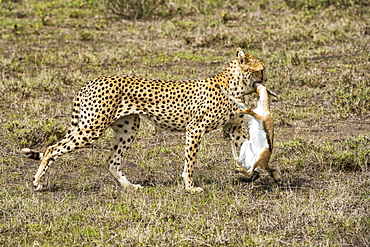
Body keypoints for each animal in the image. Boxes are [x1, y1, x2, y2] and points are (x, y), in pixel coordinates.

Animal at [23, 47, 268, 193]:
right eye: (261, 70)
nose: (266, 79)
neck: (234, 85)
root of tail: (91, 81)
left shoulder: (234, 129)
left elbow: (246, 150)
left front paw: (251, 173)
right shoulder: (195, 128)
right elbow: (190, 162)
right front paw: (190, 187)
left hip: (128, 127)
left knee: (111, 160)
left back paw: (129, 186)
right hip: (92, 127)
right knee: (52, 149)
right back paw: (38, 182)